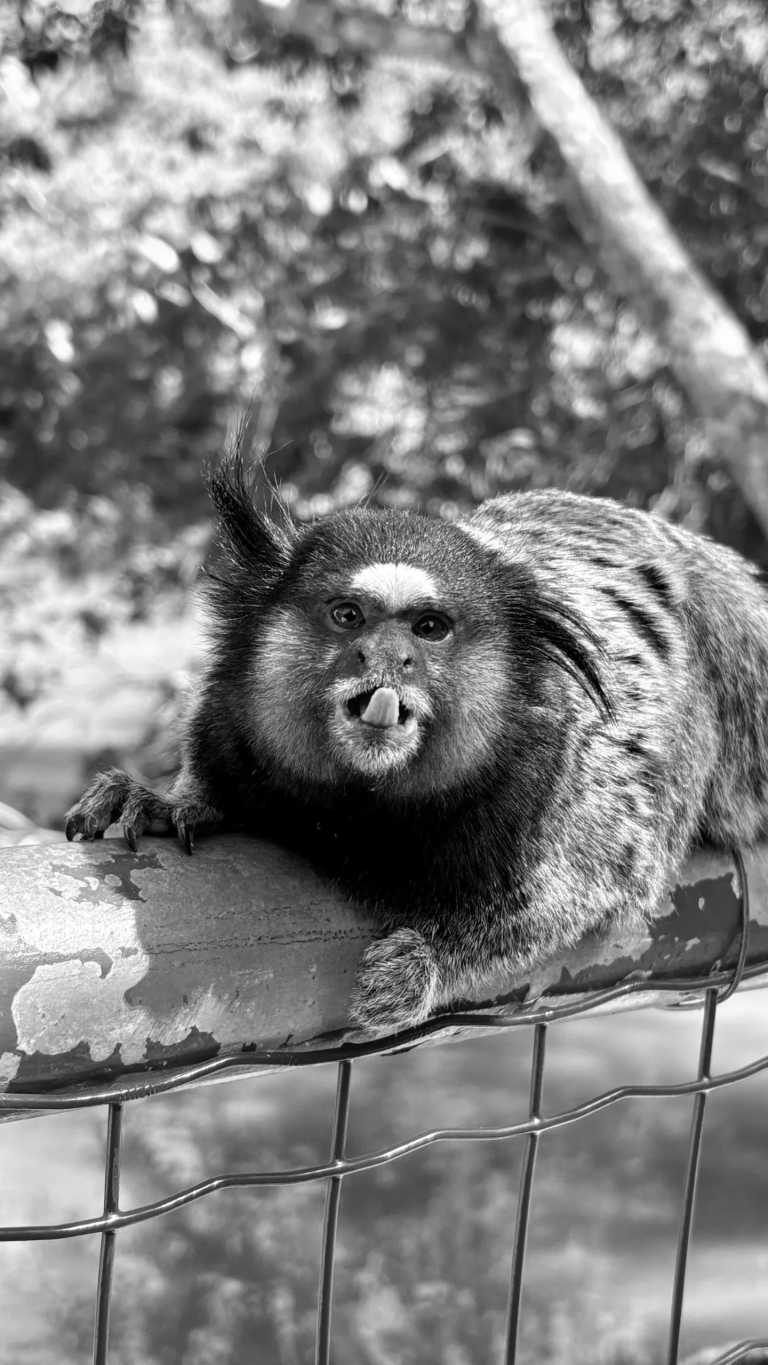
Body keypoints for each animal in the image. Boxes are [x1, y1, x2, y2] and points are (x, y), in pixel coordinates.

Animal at [64, 446, 768, 1032]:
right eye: (349, 616)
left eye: (429, 629)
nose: (388, 657)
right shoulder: (229, 723)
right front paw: (165, 800)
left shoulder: (561, 796)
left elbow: (566, 901)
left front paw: (423, 965)